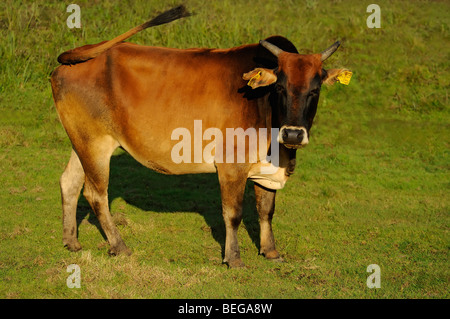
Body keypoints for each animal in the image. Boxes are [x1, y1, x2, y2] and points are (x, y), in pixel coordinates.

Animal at [51, 6, 350, 268]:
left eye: (315, 89)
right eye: (280, 87)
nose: (293, 133)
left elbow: (266, 209)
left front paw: (271, 251)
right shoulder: (232, 166)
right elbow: (233, 213)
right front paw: (234, 258)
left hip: (81, 141)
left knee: (69, 182)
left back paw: (71, 241)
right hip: (95, 142)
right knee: (95, 193)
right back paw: (119, 246)